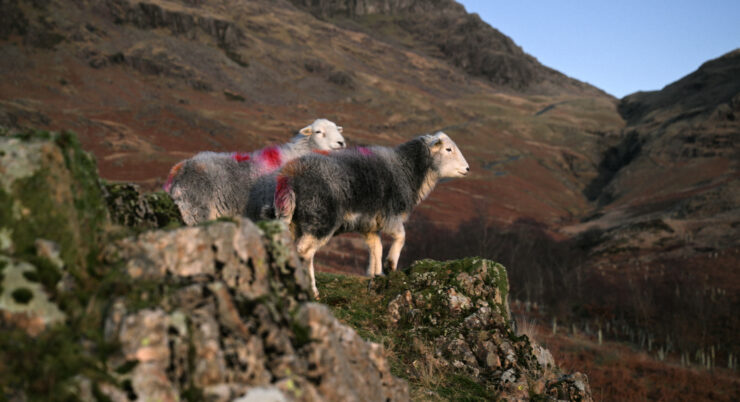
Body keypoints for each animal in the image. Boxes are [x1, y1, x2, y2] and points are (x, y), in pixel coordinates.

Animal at [164, 119, 346, 225]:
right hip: (197, 212)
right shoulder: (280, 209)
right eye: (318, 132)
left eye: (338, 130)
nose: (341, 143)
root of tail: (178, 169)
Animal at [258, 131, 469, 297]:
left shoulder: (370, 225)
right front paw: (390, 265)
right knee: (304, 252)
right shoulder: (390, 215)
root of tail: (289, 176)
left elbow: (376, 248)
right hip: (321, 219)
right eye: (448, 149)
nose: (467, 169)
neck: (408, 170)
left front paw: (376, 274)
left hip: (292, 221)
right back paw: (312, 290)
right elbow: (401, 237)